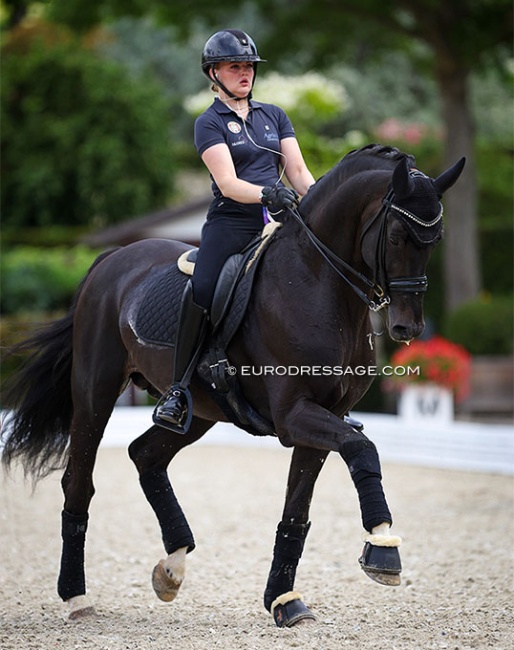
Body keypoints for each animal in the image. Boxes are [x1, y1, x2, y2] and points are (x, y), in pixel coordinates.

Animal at [1, 146, 464, 624]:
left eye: (435, 240)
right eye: (397, 236)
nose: (408, 328)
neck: (317, 283)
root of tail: (110, 260)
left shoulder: (324, 417)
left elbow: (296, 510)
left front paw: (284, 600)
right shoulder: (294, 415)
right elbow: (362, 448)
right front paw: (383, 547)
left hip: (199, 411)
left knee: (145, 454)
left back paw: (172, 566)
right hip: (95, 393)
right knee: (79, 481)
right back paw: (77, 597)